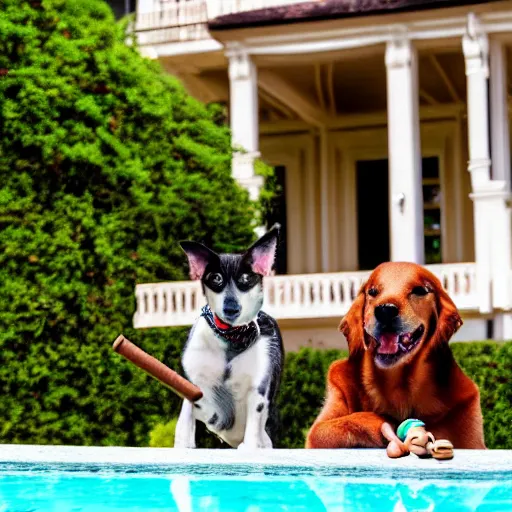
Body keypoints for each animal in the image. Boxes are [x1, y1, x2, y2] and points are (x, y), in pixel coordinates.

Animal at [173, 226, 284, 450]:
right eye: (216, 278)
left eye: (247, 279)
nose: (231, 308)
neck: (232, 337)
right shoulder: (193, 383)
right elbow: (185, 419)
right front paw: (183, 443)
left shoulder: (258, 390)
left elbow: (253, 429)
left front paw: (250, 446)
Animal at [306, 262, 486, 454]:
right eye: (373, 291)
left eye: (420, 290)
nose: (385, 310)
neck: (398, 388)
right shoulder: (318, 429)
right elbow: (336, 424)